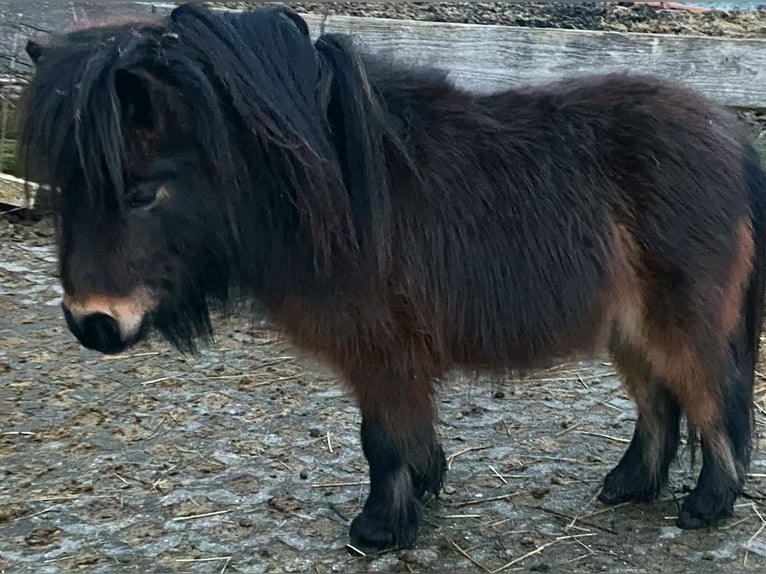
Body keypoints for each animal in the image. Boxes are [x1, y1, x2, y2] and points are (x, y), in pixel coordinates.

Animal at [19, 3, 766, 553]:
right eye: (67, 187)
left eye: (142, 191)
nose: (91, 322)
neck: (327, 192)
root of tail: (729, 136)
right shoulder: (391, 356)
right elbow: (407, 433)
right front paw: (424, 488)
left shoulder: (379, 350)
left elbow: (380, 440)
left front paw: (380, 529)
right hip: (627, 325)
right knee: (658, 403)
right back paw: (629, 485)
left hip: (679, 319)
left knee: (710, 397)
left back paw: (707, 504)